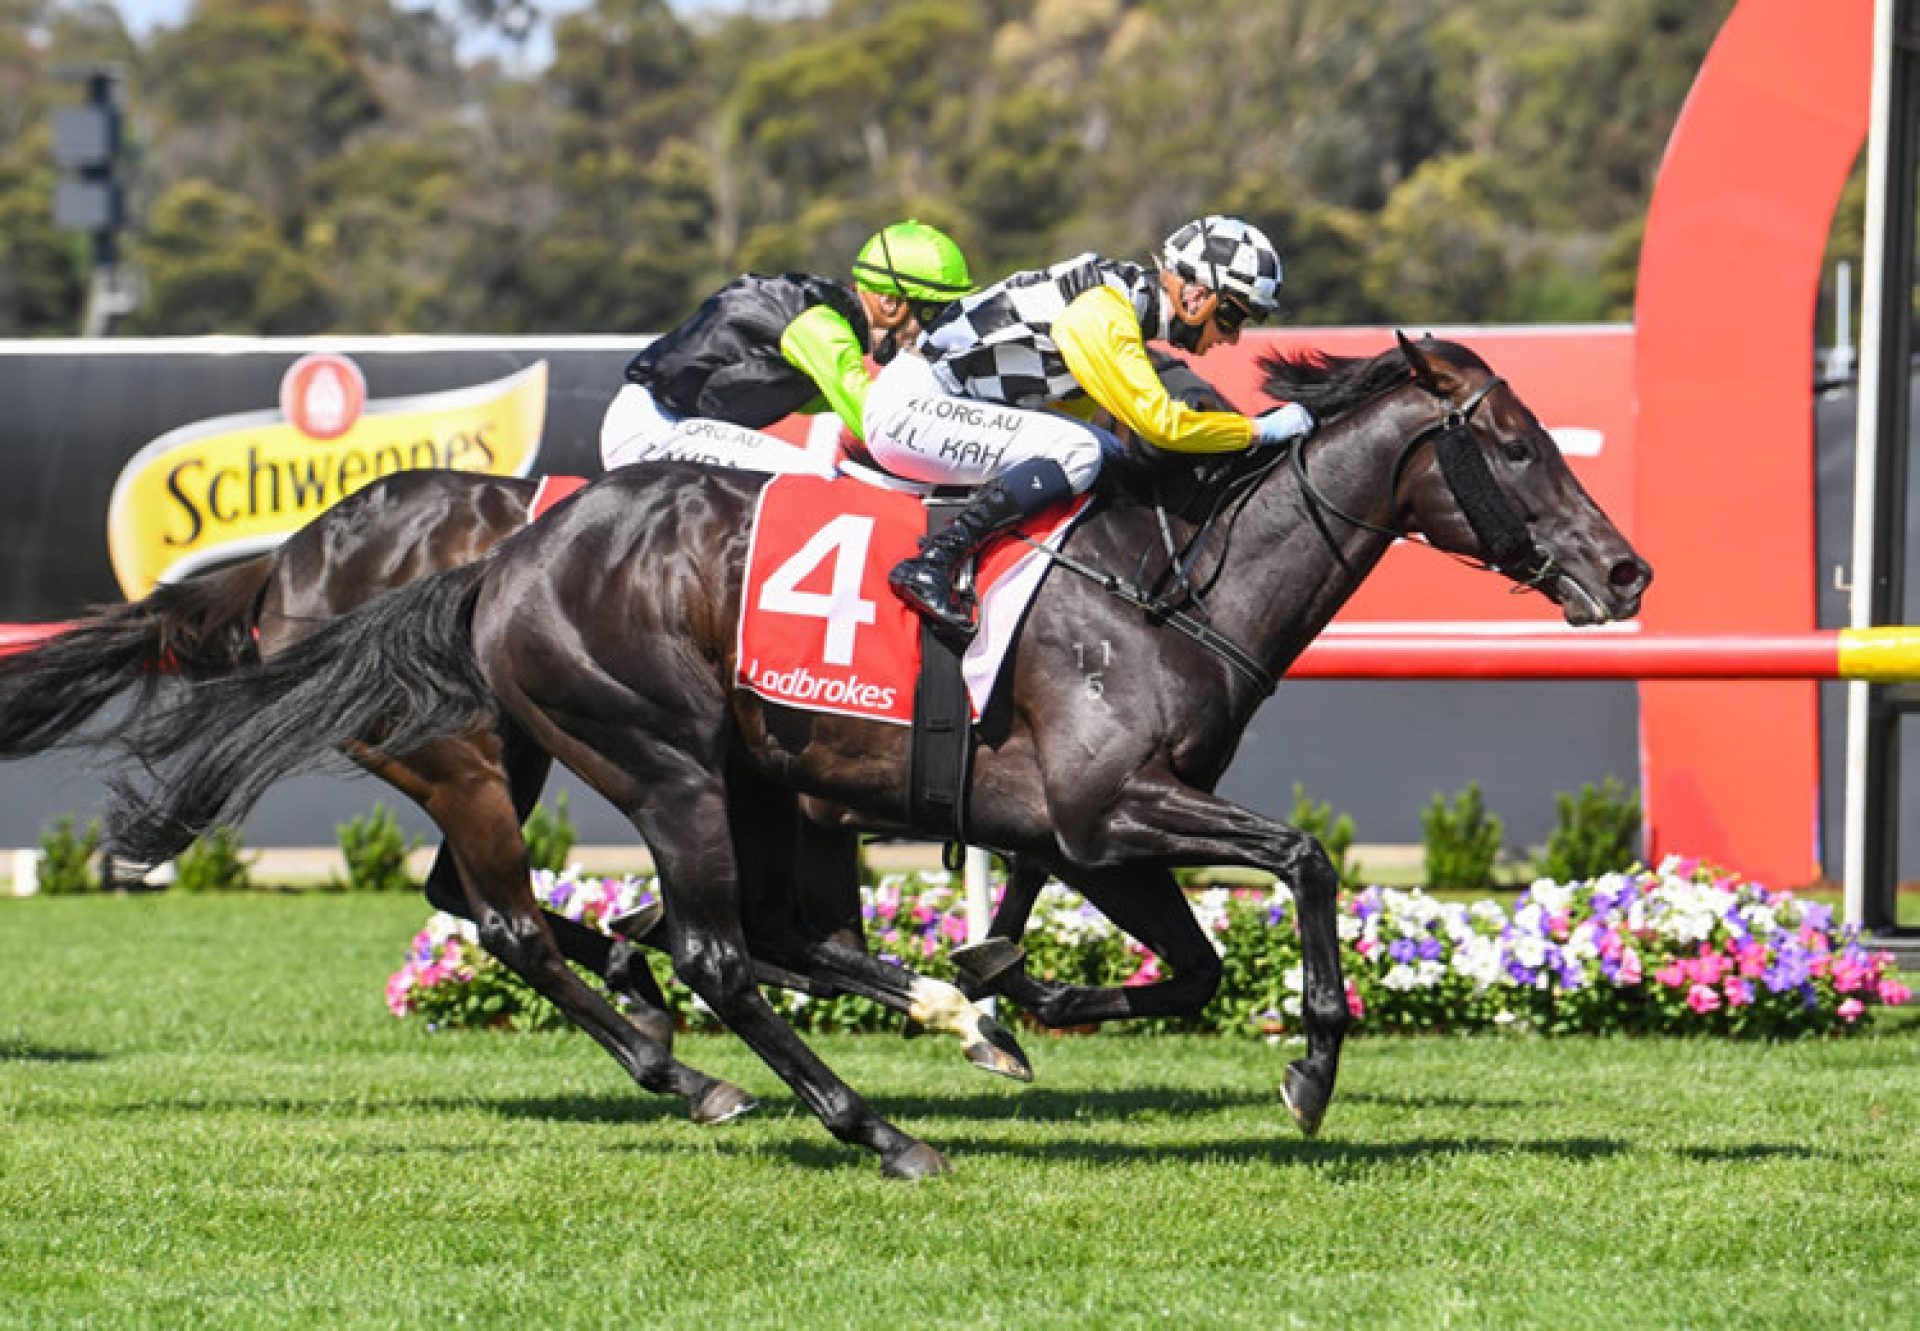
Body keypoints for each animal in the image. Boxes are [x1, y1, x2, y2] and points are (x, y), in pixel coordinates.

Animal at [105, 338, 1651, 1175]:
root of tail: (502, 559)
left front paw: (1018, 991)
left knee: (658, 927)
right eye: (1517, 443)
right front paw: (1312, 1068)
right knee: (684, 946)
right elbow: (1307, 858)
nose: (1627, 569)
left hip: (718, 779)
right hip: (648, 761)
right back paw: (842, 1111)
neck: (1172, 575)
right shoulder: (1109, 806)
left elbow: (1186, 963)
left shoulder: (1088, 830)